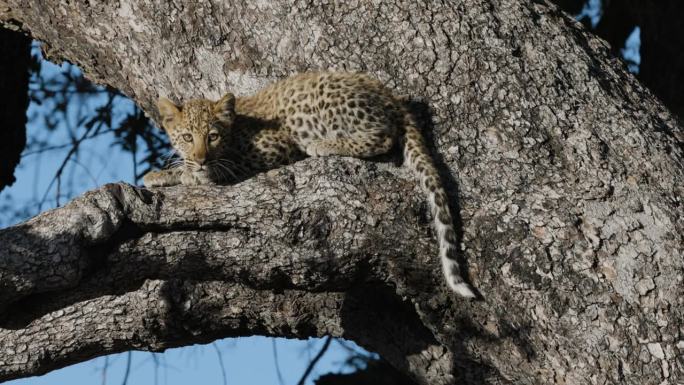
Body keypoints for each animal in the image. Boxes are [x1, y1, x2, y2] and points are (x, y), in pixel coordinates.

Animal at [144, 71, 476, 296]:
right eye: (188, 137)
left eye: (212, 136)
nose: (200, 158)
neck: (236, 127)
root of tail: (390, 96)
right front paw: (161, 174)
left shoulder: (275, 146)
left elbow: (229, 165)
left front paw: (192, 173)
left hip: (327, 100)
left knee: (382, 136)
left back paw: (322, 144)